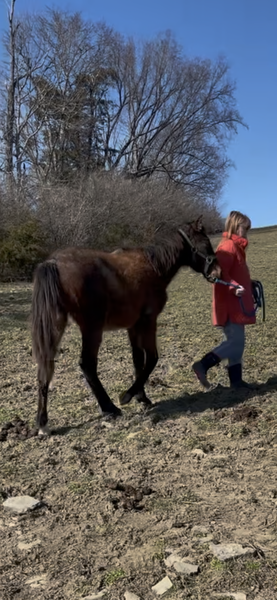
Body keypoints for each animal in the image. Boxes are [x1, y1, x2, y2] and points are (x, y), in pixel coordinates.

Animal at [30, 218, 220, 434]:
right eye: (205, 241)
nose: (217, 271)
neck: (153, 267)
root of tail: (54, 262)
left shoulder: (133, 326)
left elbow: (137, 360)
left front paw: (141, 397)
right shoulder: (148, 321)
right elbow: (152, 358)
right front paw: (128, 396)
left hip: (55, 327)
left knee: (45, 368)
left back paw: (43, 422)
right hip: (92, 329)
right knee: (87, 365)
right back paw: (109, 407)